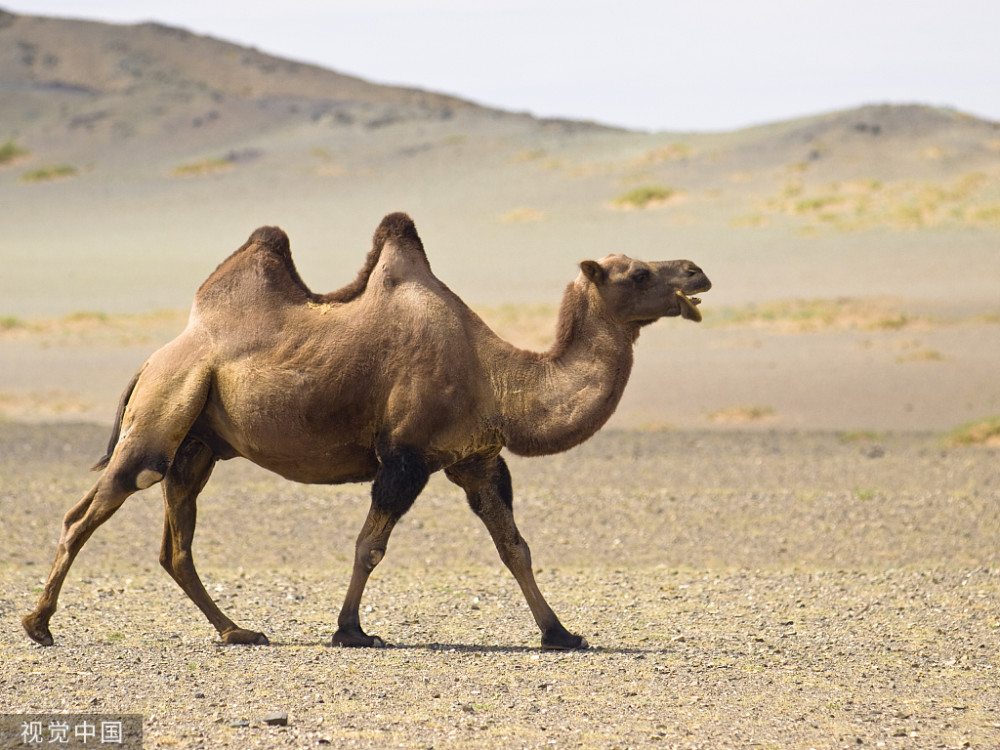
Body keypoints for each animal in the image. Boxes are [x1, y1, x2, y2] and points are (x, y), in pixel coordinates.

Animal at [23, 213, 712, 652]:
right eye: (638, 274)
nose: (697, 271)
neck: (495, 374)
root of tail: (154, 357)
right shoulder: (405, 455)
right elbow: (369, 545)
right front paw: (351, 630)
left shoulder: (475, 460)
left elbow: (514, 546)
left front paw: (560, 633)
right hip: (163, 412)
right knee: (91, 509)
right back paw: (39, 624)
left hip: (198, 443)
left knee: (175, 542)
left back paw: (237, 631)